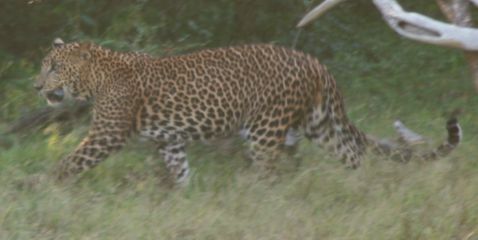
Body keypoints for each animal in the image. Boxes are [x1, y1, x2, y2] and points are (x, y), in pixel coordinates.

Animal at [32, 38, 460, 183]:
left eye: (54, 66)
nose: (36, 86)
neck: (95, 78)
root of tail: (316, 63)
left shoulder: (107, 134)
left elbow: (69, 162)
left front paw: (42, 186)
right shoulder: (170, 141)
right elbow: (180, 172)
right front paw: (184, 200)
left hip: (266, 127)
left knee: (268, 172)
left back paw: (255, 199)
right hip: (320, 124)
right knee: (353, 154)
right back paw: (359, 190)